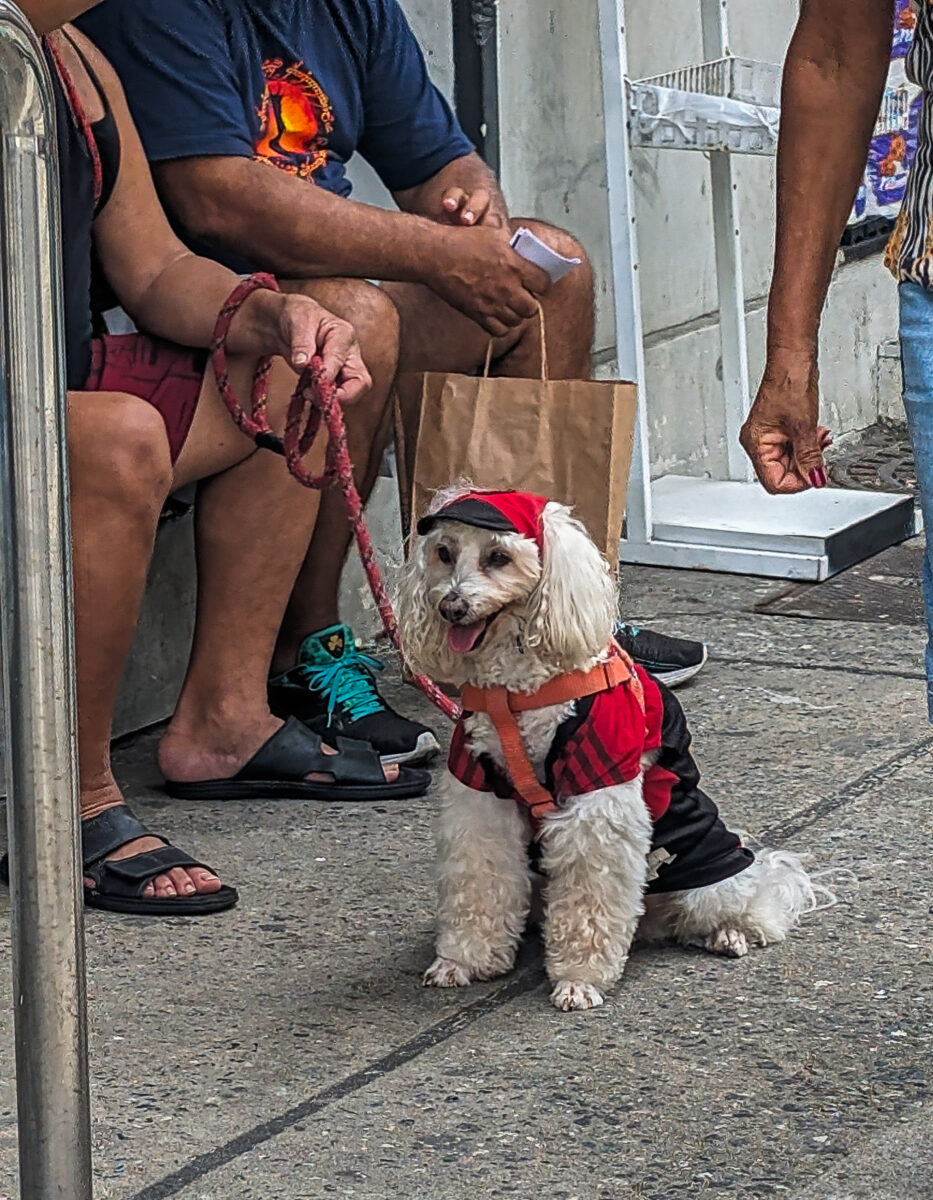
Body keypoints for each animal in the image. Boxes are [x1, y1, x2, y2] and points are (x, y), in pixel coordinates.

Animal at [395, 487, 825, 1012]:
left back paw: (730, 932)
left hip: (705, 867)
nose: (451, 607)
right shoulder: (481, 795)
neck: (517, 689)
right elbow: (479, 883)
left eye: (498, 557)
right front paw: (464, 959)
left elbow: (588, 903)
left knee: (746, 906)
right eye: (443, 552)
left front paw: (579, 979)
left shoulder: (597, 796)